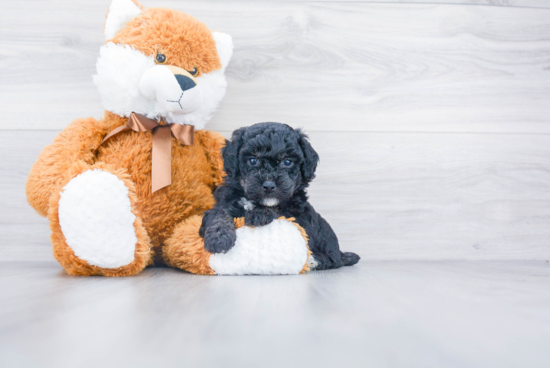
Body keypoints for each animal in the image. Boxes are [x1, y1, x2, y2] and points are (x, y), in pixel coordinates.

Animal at [199, 123, 362, 270]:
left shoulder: (299, 214)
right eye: (253, 160)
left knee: (333, 260)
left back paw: (314, 261)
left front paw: (260, 214)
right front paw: (219, 239)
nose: (269, 185)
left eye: (287, 162)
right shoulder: (225, 202)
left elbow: (280, 210)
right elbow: (219, 214)